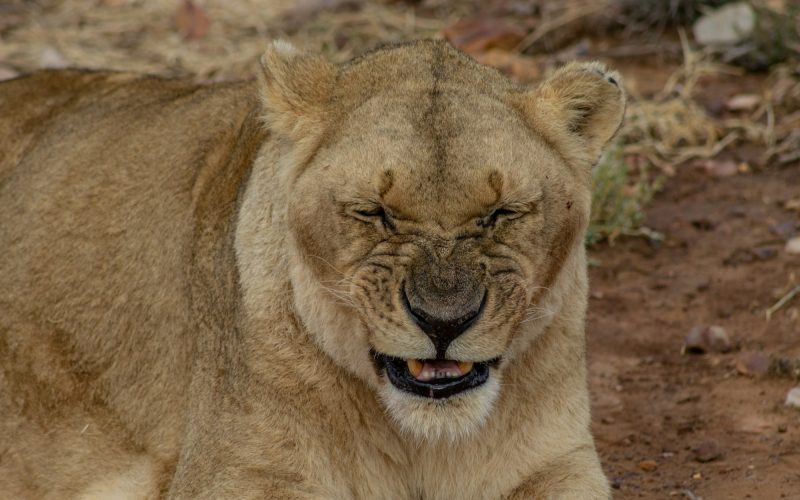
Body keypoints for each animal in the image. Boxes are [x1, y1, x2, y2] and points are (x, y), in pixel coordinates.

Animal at [0, 39, 624, 499]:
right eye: (374, 213)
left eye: (502, 213)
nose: (443, 322)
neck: (420, 442)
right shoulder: (236, 473)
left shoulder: (559, 464)